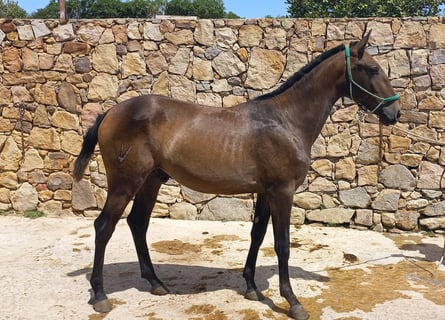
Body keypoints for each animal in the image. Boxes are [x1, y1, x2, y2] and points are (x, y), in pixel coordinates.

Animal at [73, 33, 398, 320]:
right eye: (373, 69)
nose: (394, 113)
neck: (286, 120)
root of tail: (110, 112)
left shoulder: (266, 192)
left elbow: (257, 235)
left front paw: (252, 287)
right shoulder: (282, 191)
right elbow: (282, 244)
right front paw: (292, 301)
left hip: (151, 180)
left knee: (137, 224)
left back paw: (156, 283)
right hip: (125, 183)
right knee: (104, 226)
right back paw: (100, 295)